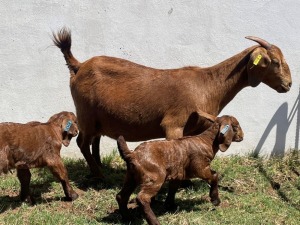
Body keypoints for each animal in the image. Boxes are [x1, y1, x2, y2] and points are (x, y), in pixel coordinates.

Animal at [52, 28, 292, 178]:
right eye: (275, 62)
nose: (288, 84)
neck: (208, 84)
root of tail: (78, 66)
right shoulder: (174, 124)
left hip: (98, 119)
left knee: (95, 141)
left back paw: (100, 168)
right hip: (86, 115)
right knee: (82, 142)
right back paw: (99, 175)